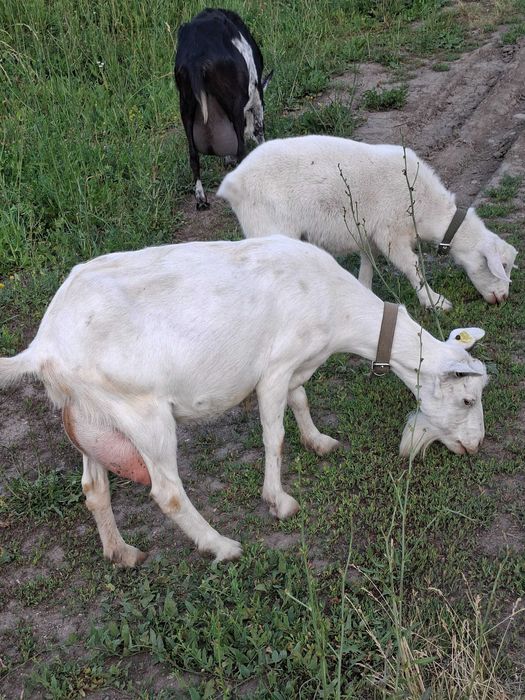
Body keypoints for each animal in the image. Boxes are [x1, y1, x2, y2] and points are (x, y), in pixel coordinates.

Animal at [0, 236, 488, 566]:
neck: (335, 303)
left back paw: (121, 552)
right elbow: (275, 435)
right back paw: (222, 545)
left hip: (93, 418)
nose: (475, 446)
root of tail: (44, 347)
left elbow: (301, 401)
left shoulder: (296, 366)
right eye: (467, 399)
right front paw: (279, 500)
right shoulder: (273, 369)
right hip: (141, 413)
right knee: (167, 493)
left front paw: (319, 441)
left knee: (93, 489)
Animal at [175, 8, 272, 210]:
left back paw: (201, 199)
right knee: (241, 149)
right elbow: (259, 129)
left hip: (185, 104)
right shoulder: (257, 97)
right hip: (234, 104)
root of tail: (196, 60)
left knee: (193, 154)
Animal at [217, 135, 518, 309]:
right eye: (501, 266)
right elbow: (411, 267)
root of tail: (232, 182)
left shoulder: (370, 231)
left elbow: (368, 261)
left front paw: (364, 288)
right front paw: (434, 301)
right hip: (269, 225)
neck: (428, 208)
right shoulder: (391, 232)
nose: (503, 298)